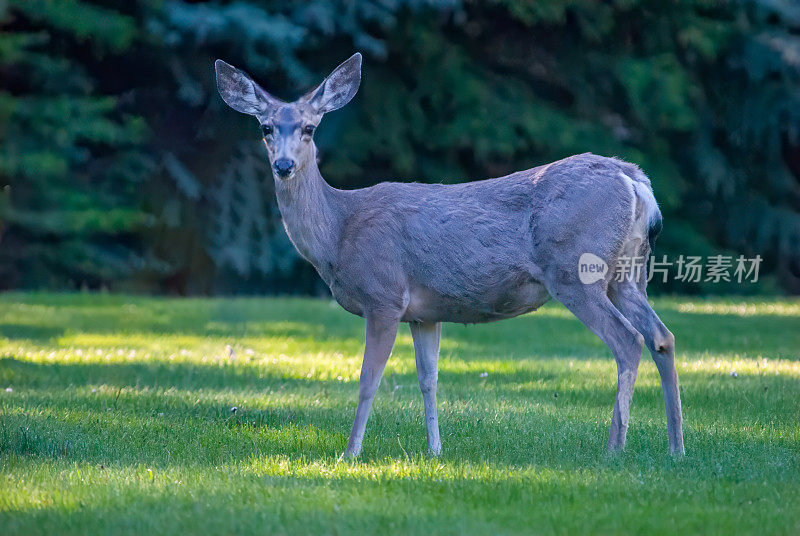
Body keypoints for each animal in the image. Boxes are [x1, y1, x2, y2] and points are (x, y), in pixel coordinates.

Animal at [216, 53, 684, 456]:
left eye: (310, 128)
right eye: (265, 128)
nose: (283, 166)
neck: (340, 230)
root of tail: (634, 180)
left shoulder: (384, 295)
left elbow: (369, 380)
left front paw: (349, 454)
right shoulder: (425, 313)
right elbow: (429, 380)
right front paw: (435, 451)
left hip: (576, 269)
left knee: (628, 340)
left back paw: (614, 448)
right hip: (628, 271)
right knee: (661, 336)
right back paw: (675, 448)